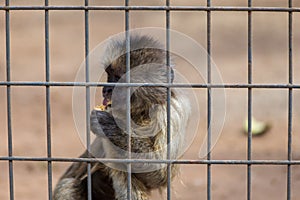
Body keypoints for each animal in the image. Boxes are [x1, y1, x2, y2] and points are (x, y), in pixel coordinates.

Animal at [53, 33, 191, 199]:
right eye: (109, 75)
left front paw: (107, 126)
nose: (105, 89)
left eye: (119, 78)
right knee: (68, 185)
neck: (141, 110)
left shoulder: (170, 111)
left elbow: (160, 175)